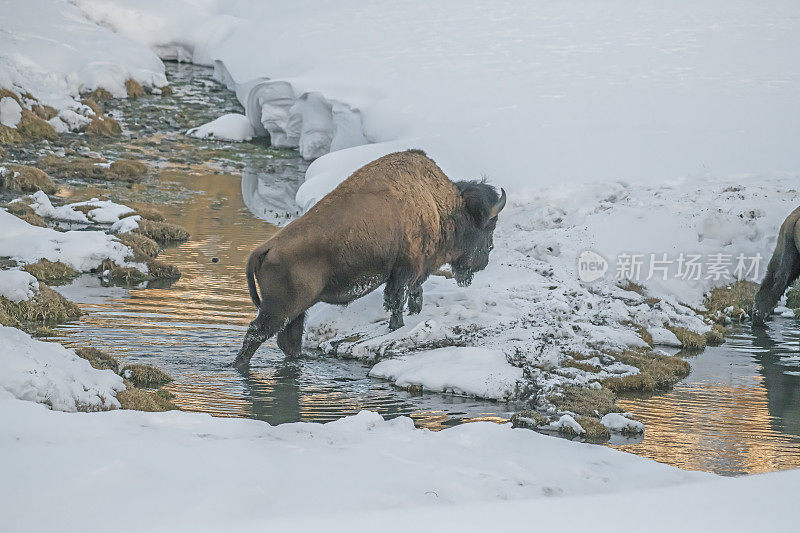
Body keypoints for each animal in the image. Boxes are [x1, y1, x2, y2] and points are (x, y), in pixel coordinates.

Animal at [233, 148, 506, 368]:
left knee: (288, 339)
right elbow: (396, 300)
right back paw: (240, 366)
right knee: (255, 334)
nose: (485, 259)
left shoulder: (414, 272)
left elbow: (414, 294)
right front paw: (397, 327)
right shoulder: (404, 270)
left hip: (296, 310)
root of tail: (265, 249)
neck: (439, 207)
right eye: (489, 225)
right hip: (279, 309)